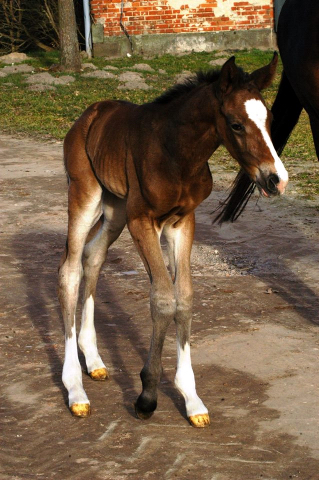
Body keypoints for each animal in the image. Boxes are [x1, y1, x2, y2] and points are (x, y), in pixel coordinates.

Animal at [58, 53, 290, 428]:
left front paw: (191, 398)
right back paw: (75, 390)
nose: (276, 179)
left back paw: (93, 360)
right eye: (236, 125)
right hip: (85, 194)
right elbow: (164, 298)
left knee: (93, 256)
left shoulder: (183, 222)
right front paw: (147, 396)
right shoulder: (143, 220)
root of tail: (89, 114)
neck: (177, 154)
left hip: (115, 207)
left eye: (268, 120)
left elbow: (185, 297)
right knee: (70, 270)